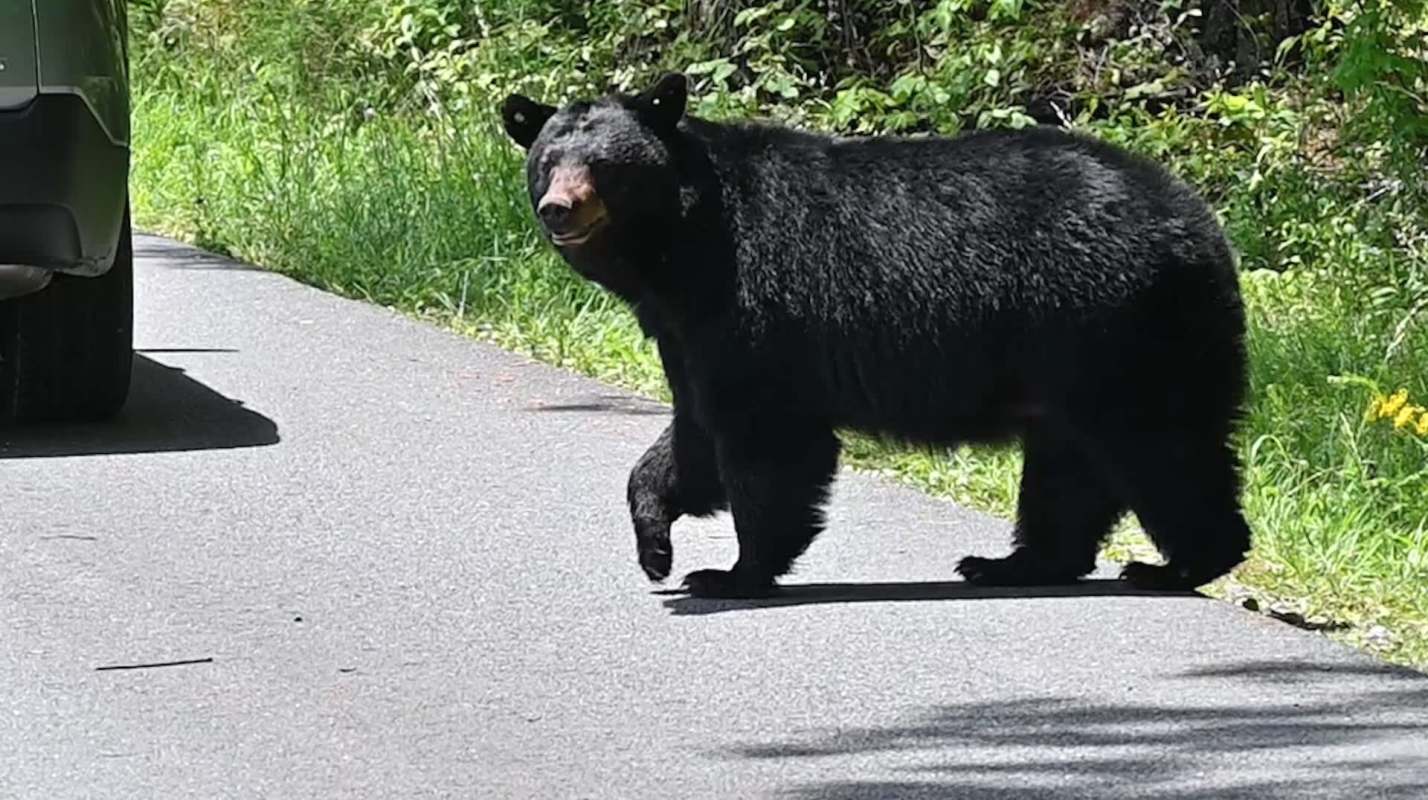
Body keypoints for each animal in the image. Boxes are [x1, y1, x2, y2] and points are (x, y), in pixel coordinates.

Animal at [499, 72, 1252, 599]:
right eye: (548, 160)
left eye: (606, 166)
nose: (559, 208)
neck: (678, 253)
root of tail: (1198, 222)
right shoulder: (685, 330)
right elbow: (693, 434)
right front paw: (656, 546)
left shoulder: (752, 302)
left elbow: (766, 438)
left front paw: (734, 572)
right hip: (1071, 354)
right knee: (1069, 463)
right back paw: (1012, 561)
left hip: (1117, 327)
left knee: (1159, 446)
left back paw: (1177, 563)